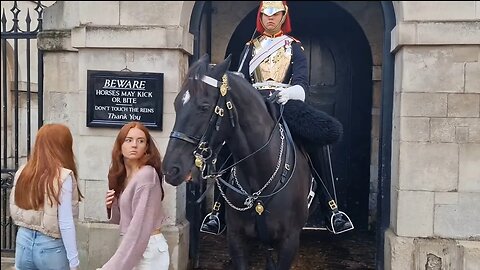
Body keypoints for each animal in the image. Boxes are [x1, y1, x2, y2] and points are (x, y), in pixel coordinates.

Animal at [163, 54, 316, 268]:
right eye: (176, 104)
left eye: (204, 107)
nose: (171, 169)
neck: (259, 177)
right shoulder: (237, 239)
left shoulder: (289, 242)